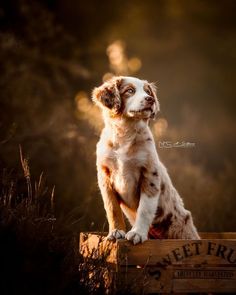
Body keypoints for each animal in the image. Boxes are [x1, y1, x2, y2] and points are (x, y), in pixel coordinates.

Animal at [91, 76, 199, 245]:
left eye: (148, 92)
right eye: (129, 91)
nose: (150, 99)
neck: (125, 135)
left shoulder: (149, 175)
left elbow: (144, 209)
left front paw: (137, 233)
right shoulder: (104, 176)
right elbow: (112, 208)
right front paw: (116, 232)